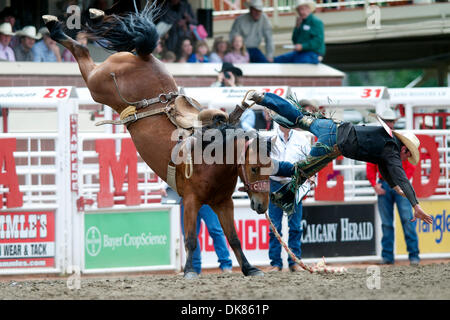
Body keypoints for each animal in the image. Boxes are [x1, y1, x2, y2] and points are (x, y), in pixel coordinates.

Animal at [44, 1, 272, 278]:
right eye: (254, 168)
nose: (262, 206)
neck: (212, 156)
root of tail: (145, 57)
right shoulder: (192, 201)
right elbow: (190, 239)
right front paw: (189, 271)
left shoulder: (223, 203)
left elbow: (234, 238)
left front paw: (250, 269)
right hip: (99, 85)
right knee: (82, 50)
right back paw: (59, 26)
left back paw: (91, 17)